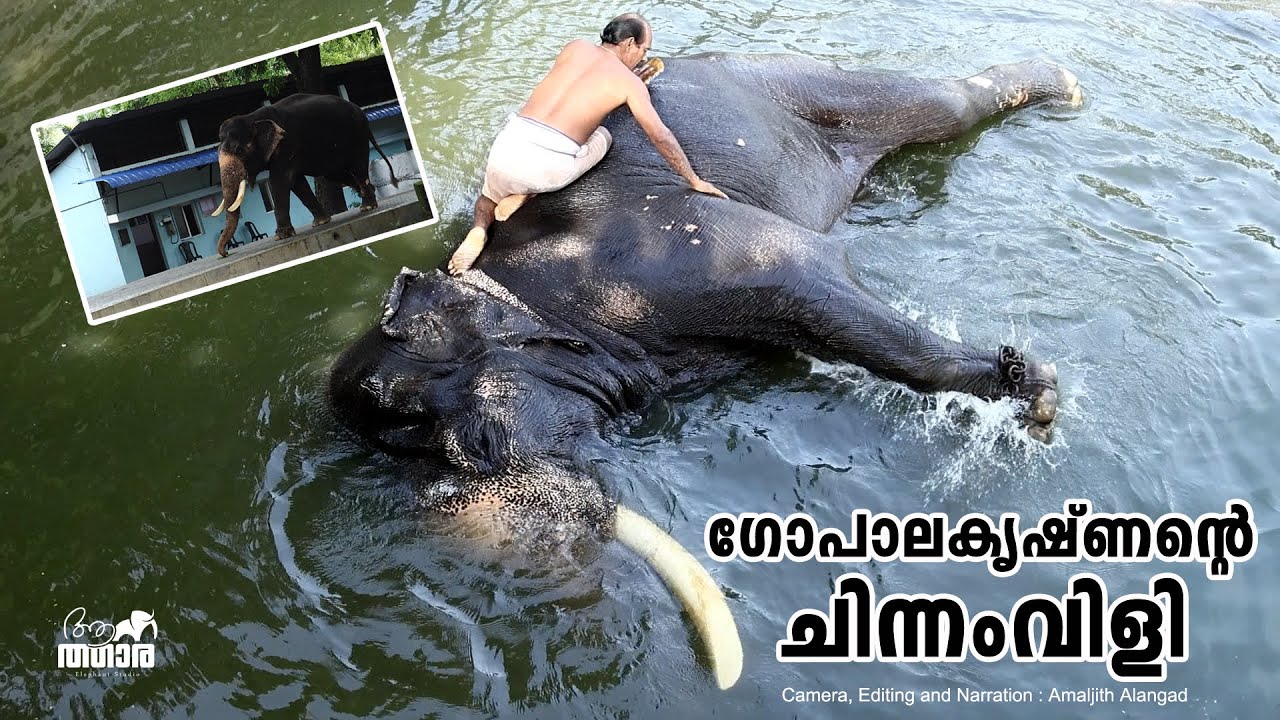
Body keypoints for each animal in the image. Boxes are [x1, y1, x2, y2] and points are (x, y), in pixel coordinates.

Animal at [210, 92, 400, 257]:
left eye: (239, 150)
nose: (225, 253)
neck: (252, 117)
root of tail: (360, 112)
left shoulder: (287, 144)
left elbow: (279, 180)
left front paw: (282, 236)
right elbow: (296, 182)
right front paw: (321, 223)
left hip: (357, 135)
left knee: (356, 167)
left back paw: (367, 206)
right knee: (335, 174)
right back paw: (368, 194)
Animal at [328, 53, 1082, 689]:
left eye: (472, 441)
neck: (515, 286)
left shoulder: (666, 251)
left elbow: (815, 274)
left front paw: (1031, 391)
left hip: (782, 80)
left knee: (939, 104)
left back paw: (1064, 85)